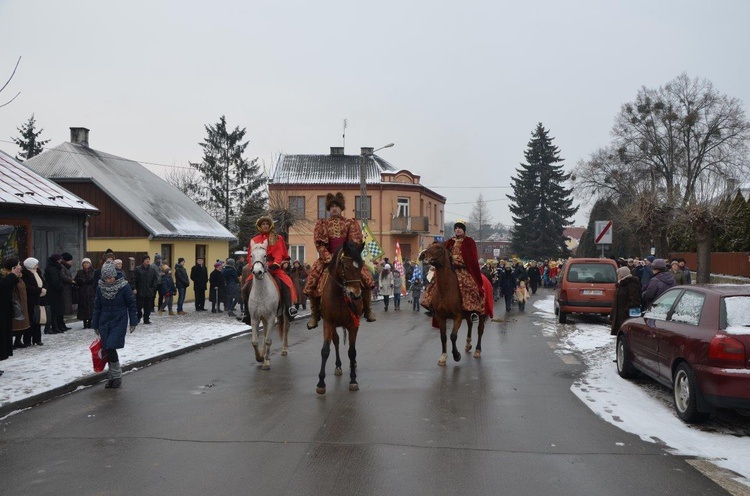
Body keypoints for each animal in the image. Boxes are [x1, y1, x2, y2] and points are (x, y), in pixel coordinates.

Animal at [250, 242, 290, 370]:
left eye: (265, 256)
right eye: (251, 255)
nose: (257, 272)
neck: (261, 293)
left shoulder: (271, 317)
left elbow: (268, 340)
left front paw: (266, 361)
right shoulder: (255, 318)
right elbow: (255, 341)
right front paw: (259, 357)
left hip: (285, 313)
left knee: (286, 328)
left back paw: (284, 349)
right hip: (264, 318)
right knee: (264, 333)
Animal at [316, 240, 366, 396]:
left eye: (361, 265)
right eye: (345, 266)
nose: (355, 295)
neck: (339, 295)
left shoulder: (353, 325)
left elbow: (352, 351)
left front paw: (353, 380)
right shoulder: (328, 323)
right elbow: (325, 350)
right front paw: (321, 383)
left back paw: (352, 365)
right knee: (336, 341)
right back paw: (338, 366)